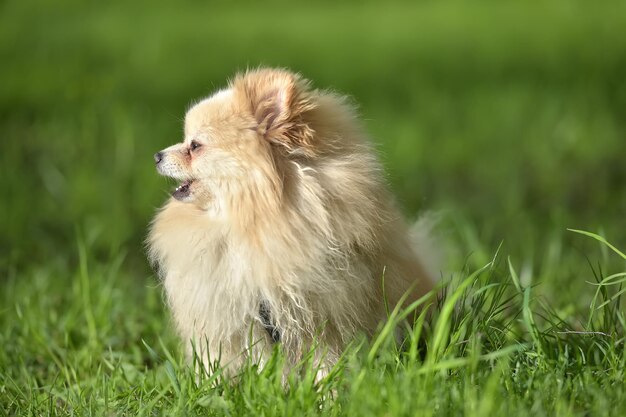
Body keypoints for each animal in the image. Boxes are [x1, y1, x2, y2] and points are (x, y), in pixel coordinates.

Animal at [149, 67, 436, 374]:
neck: (251, 222)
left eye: (195, 145)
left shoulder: (322, 313)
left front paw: (326, 387)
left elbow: (325, 358)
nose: (157, 155)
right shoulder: (235, 317)